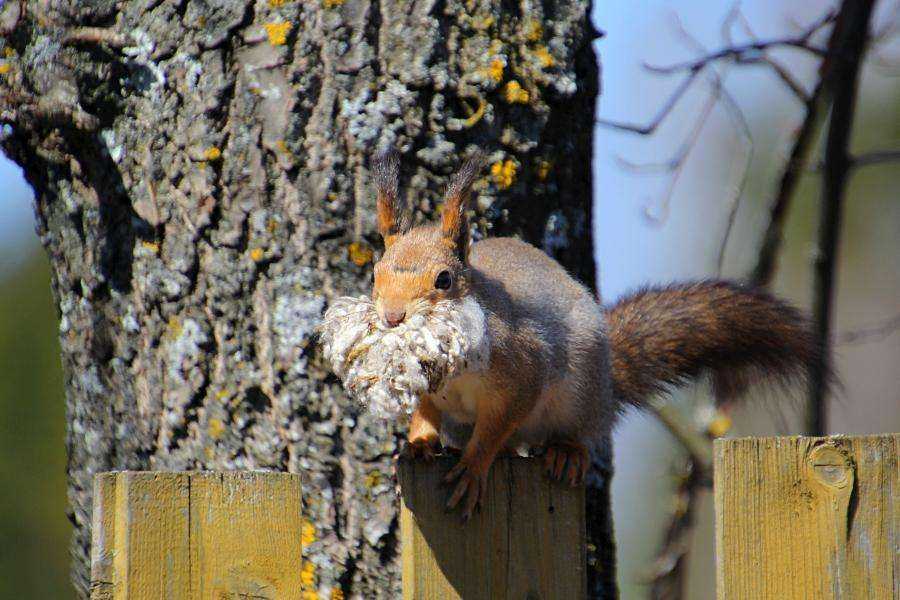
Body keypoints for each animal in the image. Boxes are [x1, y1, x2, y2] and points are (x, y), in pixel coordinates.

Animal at [370, 150, 828, 520]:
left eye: (444, 279)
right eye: (375, 274)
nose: (393, 317)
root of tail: (606, 388)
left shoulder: (522, 369)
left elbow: (499, 422)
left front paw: (472, 468)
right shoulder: (427, 388)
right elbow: (425, 411)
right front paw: (418, 443)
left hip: (578, 393)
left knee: (570, 433)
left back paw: (566, 452)